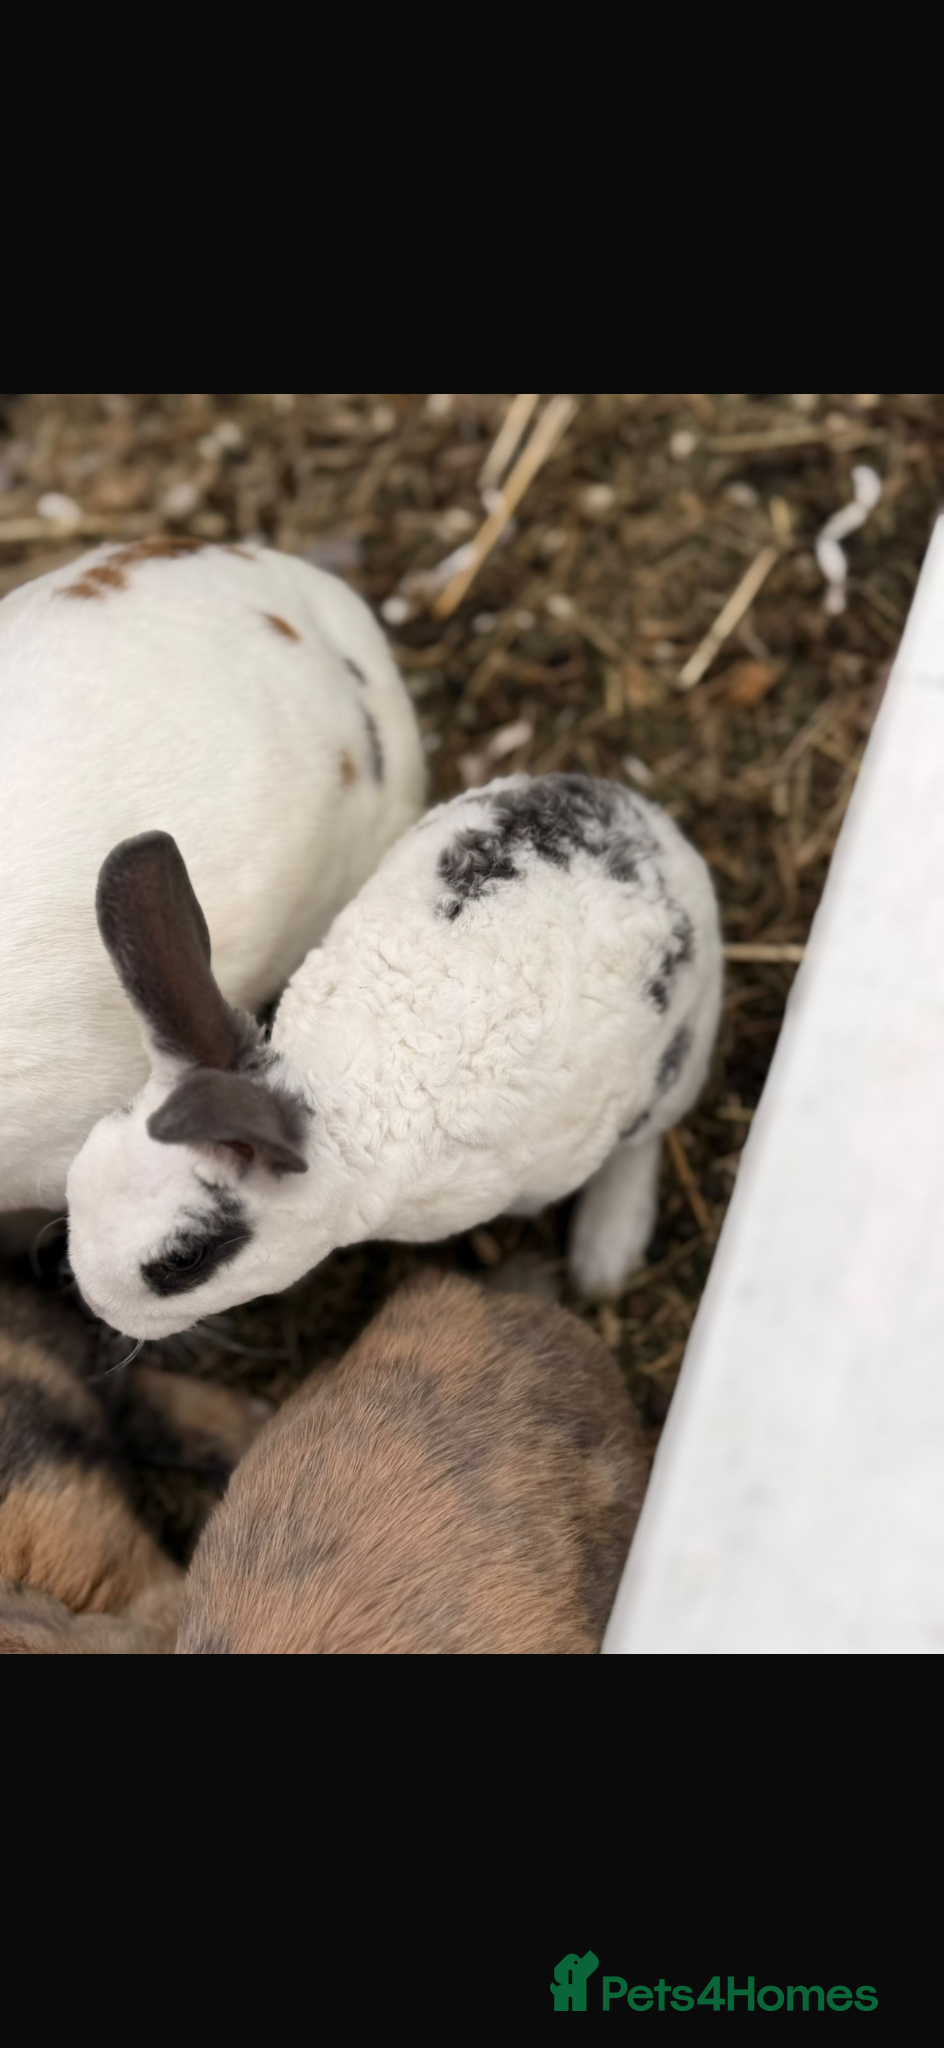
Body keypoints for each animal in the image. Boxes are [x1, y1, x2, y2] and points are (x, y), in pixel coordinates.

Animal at [67, 771, 722, 1340]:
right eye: (79, 1167)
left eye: (184, 1260)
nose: (97, 1307)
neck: (330, 1111)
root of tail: (660, 831)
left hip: (673, 1062)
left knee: (642, 1142)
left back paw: (603, 1258)